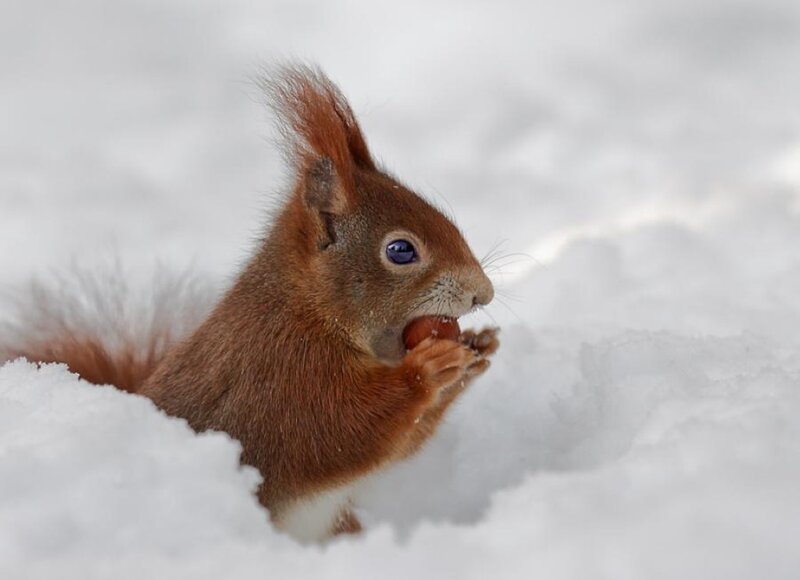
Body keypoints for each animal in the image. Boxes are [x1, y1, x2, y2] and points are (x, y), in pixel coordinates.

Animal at [1, 65, 499, 543]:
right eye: (400, 250)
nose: (484, 292)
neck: (309, 311)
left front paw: (477, 348)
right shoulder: (281, 376)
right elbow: (341, 433)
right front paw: (427, 370)